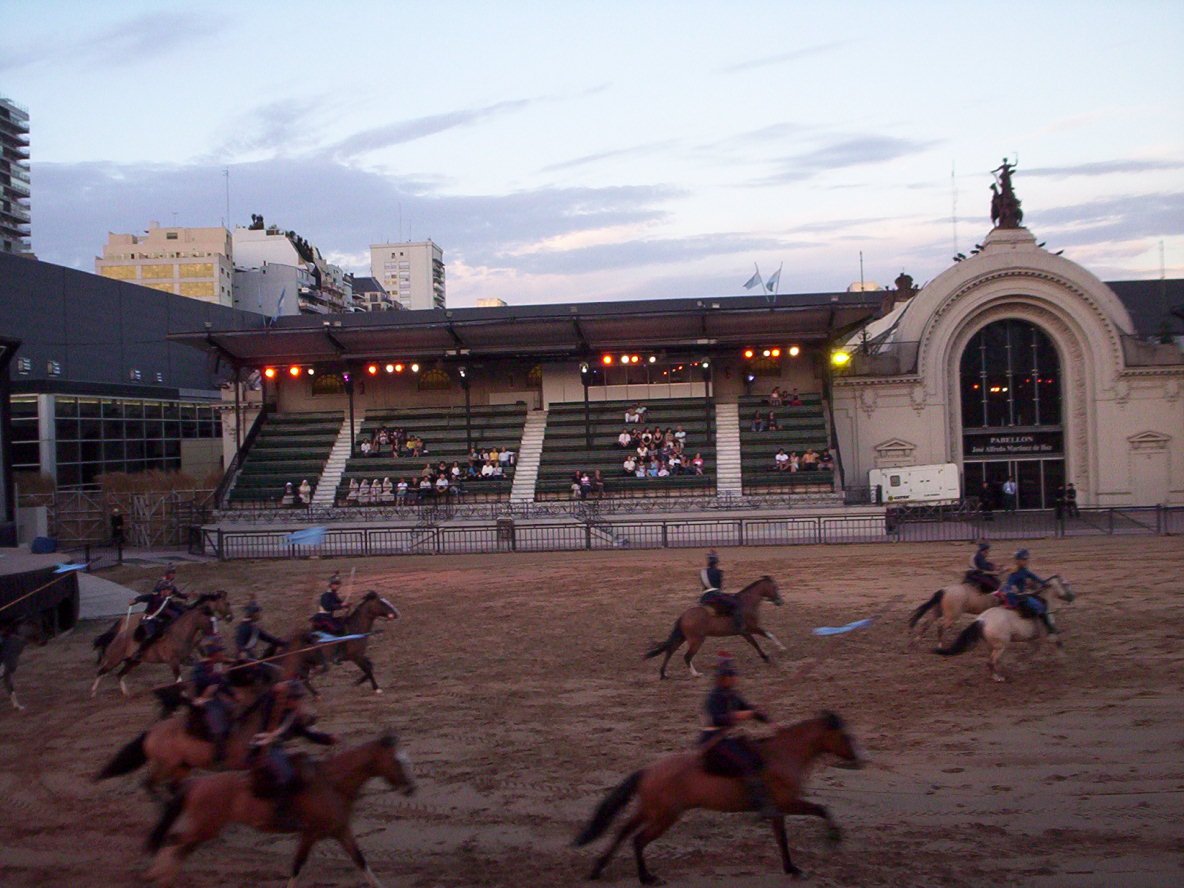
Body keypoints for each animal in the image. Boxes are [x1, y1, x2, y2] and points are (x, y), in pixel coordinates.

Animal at [90, 594, 233, 700]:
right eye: (227, 603)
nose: (230, 617)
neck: (179, 633)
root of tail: (118, 637)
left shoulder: (187, 657)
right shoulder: (173, 662)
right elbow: (179, 680)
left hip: (133, 662)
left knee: (119, 675)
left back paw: (127, 694)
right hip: (114, 660)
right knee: (101, 672)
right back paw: (93, 692)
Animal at [143, 734, 416, 885]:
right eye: (397, 761)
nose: (411, 789)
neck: (332, 783)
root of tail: (196, 783)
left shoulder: (340, 831)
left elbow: (361, 863)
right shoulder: (310, 834)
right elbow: (297, 866)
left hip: (204, 829)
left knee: (178, 846)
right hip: (204, 828)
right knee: (174, 841)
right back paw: (159, 875)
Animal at [573, 715, 861, 885]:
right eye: (845, 736)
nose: (858, 760)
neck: (782, 755)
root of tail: (649, 770)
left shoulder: (777, 809)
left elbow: (782, 839)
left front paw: (791, 868)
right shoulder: (788, 803)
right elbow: (821, 809)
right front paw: (834, 838)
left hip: (650, 810)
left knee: (623, 831)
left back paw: (598, 869)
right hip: (664, 817)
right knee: (638, 839)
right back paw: (646, 877)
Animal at [644, 577, 781, 681]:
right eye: (775, 588)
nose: (780, 601)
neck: (746, 603)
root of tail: (683, 616)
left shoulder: (746, 631)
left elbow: (762, 639)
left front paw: (773, 652)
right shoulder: (750, 629)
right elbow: (763, 638)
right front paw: (774, 652)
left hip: (682, 638)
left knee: (670, 651)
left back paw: (663, 674)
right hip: (696, 640)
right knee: (687, 656)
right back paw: (696, 674)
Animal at [937, 577, 1079, 681]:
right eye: (1066, 584)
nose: (1072, 597)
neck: (1045, 604)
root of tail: (982, 620)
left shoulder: (1032, 638)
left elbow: (1034, 649)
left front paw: (1022, 663)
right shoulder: (1047, 635)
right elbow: (1058, 642)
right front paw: (1065, 661)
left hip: (991, 645)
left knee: (991, 660)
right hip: (1001, 646)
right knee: (991, 661)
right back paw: (997, 677)